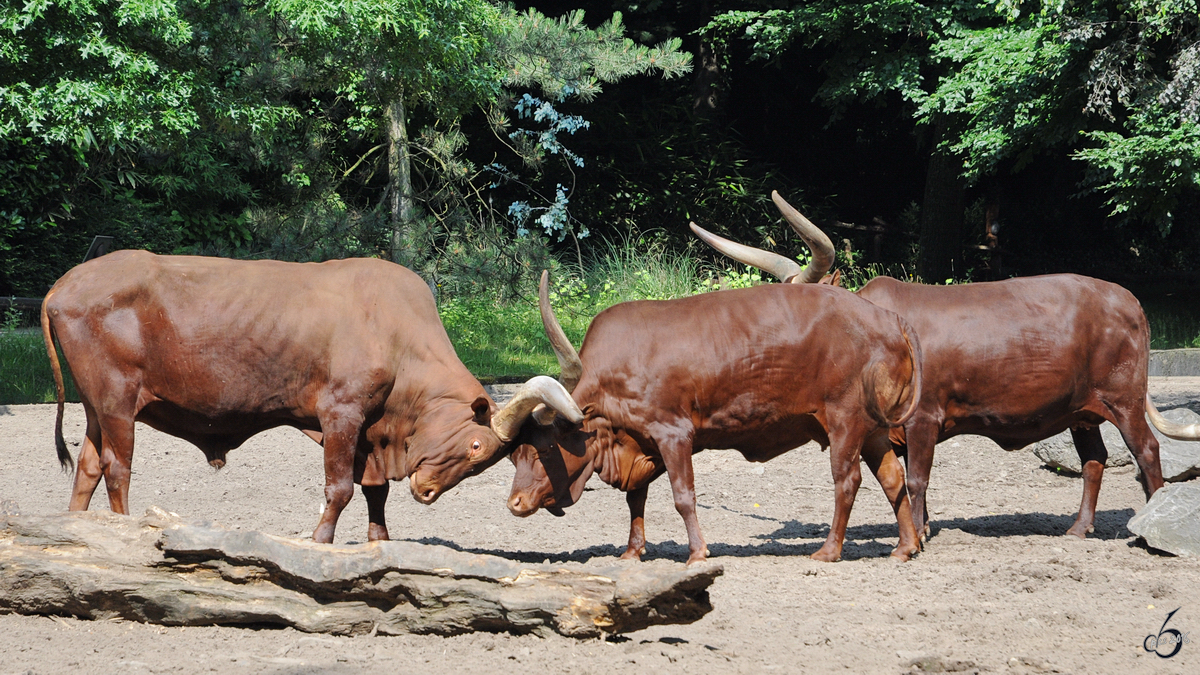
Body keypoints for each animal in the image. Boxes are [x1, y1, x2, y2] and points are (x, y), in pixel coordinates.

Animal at [44, 251, 588, 540]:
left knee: (88, 467)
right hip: (116, 401)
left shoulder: (370, 428)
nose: (427, 491)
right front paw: (321, 541)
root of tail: (63, 285)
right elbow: (340, 488)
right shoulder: (340, 413)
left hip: (95, 407)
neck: (395, 330)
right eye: (477, 447)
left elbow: (374, 491)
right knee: (117, 469)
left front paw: (378, 542)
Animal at [506, 267, 926, 562]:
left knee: (847, 480)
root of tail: (889, 319)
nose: (514, 503)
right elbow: (636, 500)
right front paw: (632, 550)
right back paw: (905, 547)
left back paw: (829, 550)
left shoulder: (673, 433)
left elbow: (683, 496)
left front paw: (697, 552)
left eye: (545, 450)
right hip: (873, 428)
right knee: (892, 477)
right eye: (516, 453)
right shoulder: (639, 441)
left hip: (845, 420)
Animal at [691, 189, 1200, 540]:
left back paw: (1146, 521)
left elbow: (917, 477)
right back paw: (1077, 529)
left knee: (1147, 451)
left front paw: (920, 531)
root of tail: (1129, 298)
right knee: (1094, 460)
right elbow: (901, 479)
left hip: (1124, 399)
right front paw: (922, 527)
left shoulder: (924, 417)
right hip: (1082, 410)